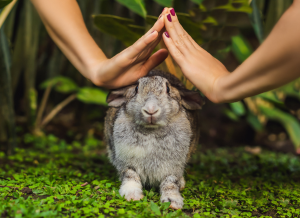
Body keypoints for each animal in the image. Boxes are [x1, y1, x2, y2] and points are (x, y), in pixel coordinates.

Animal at [103, 70, 204, 209]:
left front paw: (172, 203)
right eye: (136, 88)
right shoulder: (126, 162)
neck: (151, 130)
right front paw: (132, 196)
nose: (151, 110)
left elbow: (170, 182)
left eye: (168, 89)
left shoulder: (173, 167)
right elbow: (130, 175)